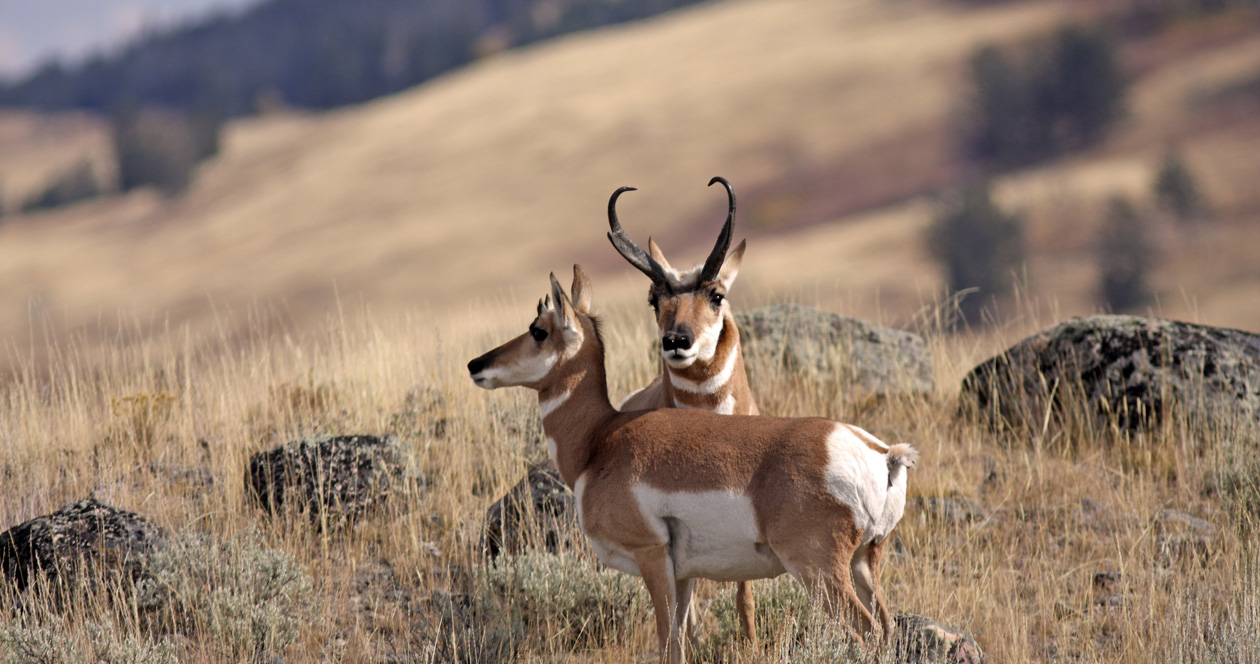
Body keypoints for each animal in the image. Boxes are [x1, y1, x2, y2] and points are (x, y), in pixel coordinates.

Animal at [467, 266, 917, 664]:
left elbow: (668, 645)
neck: (600, 439)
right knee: (888, 629)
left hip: (818, 571)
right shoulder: (683, 576)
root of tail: (880, 452)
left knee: (867, 632)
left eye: (538, 330)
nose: (476, 364)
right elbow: (682, 643)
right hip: (863, 564)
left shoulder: (652, 558)